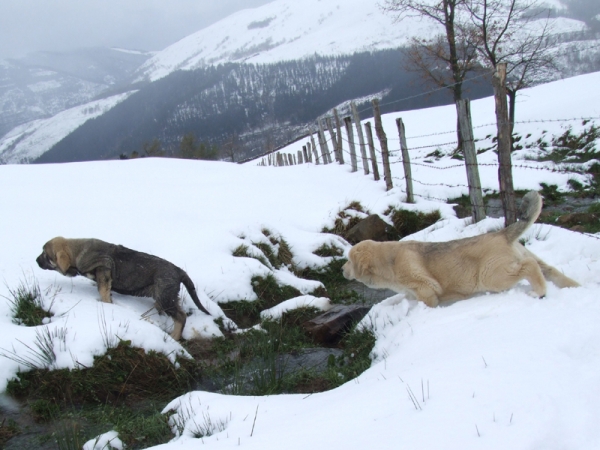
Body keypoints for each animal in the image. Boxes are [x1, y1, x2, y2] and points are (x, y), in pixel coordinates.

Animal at [37, 237, 211, 340]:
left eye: (45, 254)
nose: (36, 260)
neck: (78, 251)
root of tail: (179, 271)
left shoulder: (104, 272)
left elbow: (103, 292)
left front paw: (105, 305)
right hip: (166, 296)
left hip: (166, 298)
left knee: (181, 317)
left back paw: (174, 336)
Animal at [344, 192, 580, 308]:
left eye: (349, 260)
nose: (341, 269)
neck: (388, 262)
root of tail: (504, 233)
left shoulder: (425, 287)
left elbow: (429, 302)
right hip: (528, 261)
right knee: (550, 270)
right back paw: (575, 286)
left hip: (492, 275)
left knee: (528, 267)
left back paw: (539, 292)